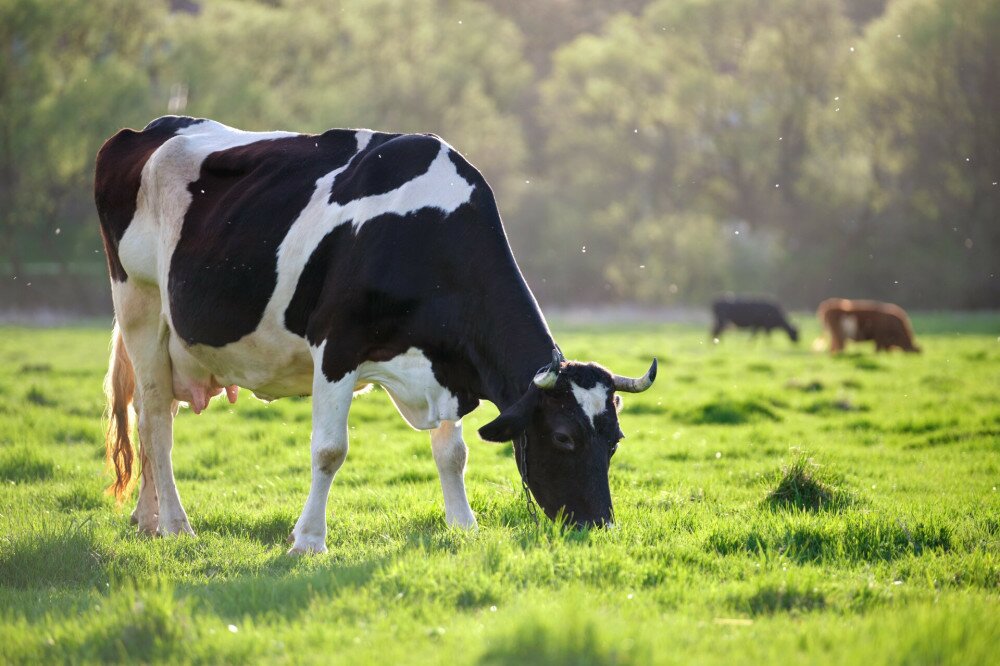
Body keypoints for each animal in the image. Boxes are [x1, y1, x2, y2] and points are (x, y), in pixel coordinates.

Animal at [94, 115, 656, 548]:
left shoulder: (445, 364)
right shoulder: (336, 347)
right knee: (154, 422)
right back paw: (176, 526)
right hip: (140, 304)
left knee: (154, 414)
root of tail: (149, 129)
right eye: (563, 437)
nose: (599, 525)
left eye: (615, 439)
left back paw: (146, 520)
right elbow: (329, 450)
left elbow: (453, 454)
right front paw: (308, 540)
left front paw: (463, 526)